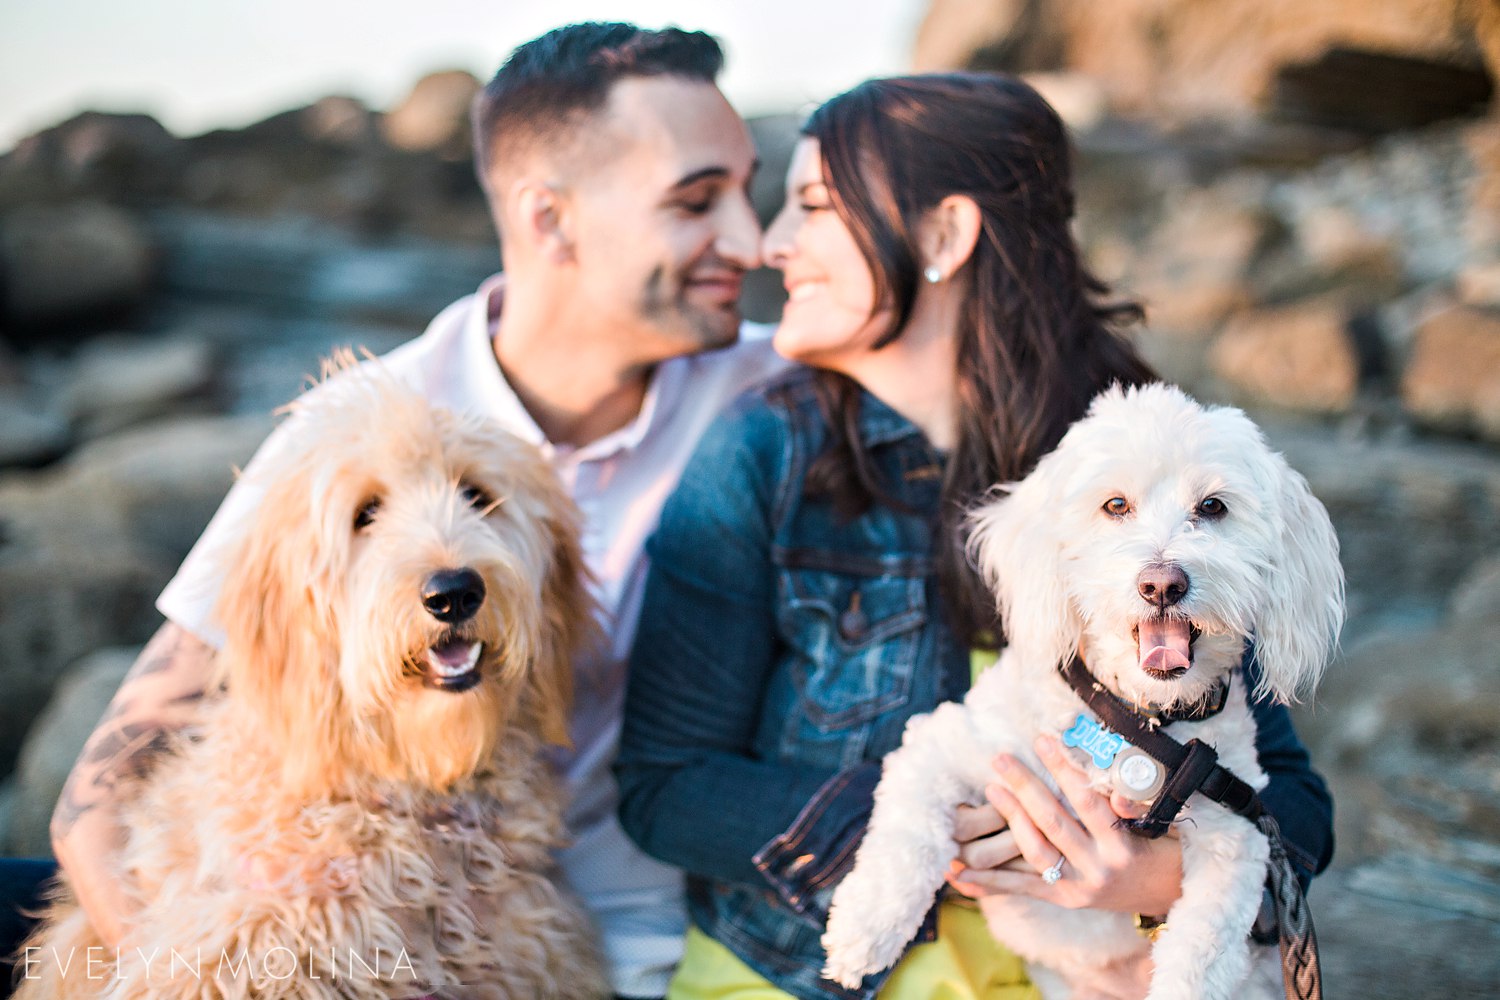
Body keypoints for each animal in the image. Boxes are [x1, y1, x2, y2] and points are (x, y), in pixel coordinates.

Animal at [822, 383, 1350, 1000]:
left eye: (1214, 507)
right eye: (1115, 506)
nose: (1162, 584)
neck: (1139, 720)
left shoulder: (1237, 833)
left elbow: (1203, 948)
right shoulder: (951, 744)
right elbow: (908, 836)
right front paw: (863, 930)